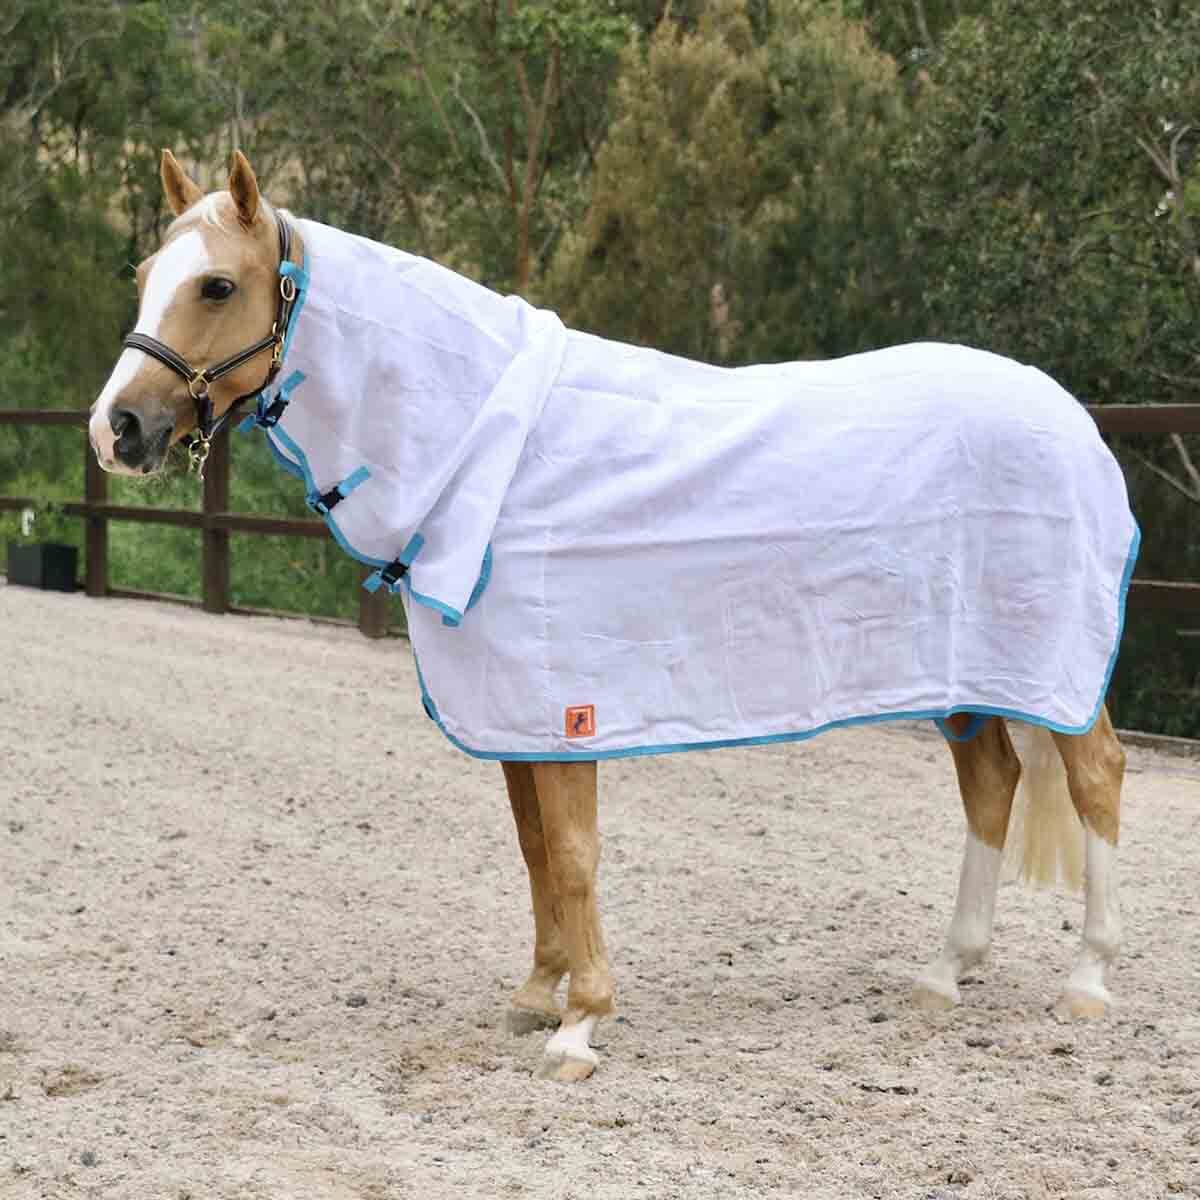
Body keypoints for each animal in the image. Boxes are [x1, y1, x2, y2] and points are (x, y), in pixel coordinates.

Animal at [88, 150, 1131, 1083]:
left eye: (217, 285)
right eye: (141, 279)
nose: (116, 430)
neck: (492, 450)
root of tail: (1070, 414)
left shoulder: (566, 704)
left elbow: (576, 854)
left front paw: (581, 1025)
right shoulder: (512, 712)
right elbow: (536, 853)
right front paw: (536, 992)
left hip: (1052, 661)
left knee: (1094, 776)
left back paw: (1087, 981)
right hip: (967, 670)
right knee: (992, 784)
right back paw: (946, 973)